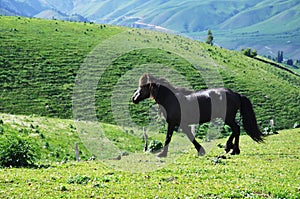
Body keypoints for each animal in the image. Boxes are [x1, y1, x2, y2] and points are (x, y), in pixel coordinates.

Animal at [132, 74, 262, 158]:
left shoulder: (173, 123)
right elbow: (190, 136)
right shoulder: (182, 124)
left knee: (236, 129)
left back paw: (232, 149)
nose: (134, 98)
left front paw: (162, 154)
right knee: (236, 130)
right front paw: (201, 151)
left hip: (227, 118)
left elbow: (168, 137)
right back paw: (231, 149)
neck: (172, 100)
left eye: (142, 87)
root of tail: (235, 94)